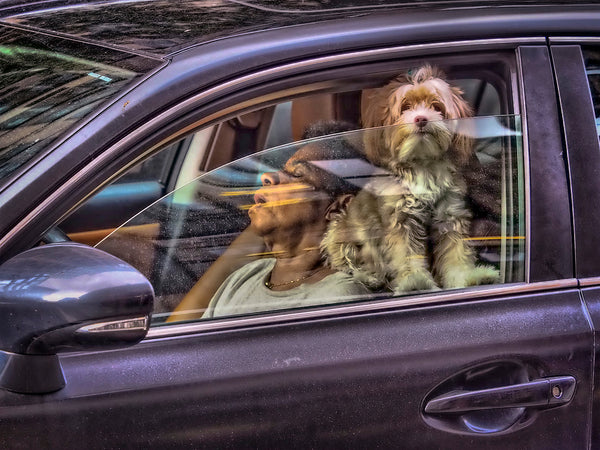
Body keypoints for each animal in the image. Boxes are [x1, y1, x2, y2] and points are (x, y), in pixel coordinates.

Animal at [322, 65, 500, 294]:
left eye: (436, 106)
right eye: (405, 107)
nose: (421, 118)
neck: (422, 165)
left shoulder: (450, 217)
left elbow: (456, 253)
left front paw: (466, 278)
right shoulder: (401, 221)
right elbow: (407, 256)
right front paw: (416, 282)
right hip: (340, 235)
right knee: (351, 266)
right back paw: (371, 277)